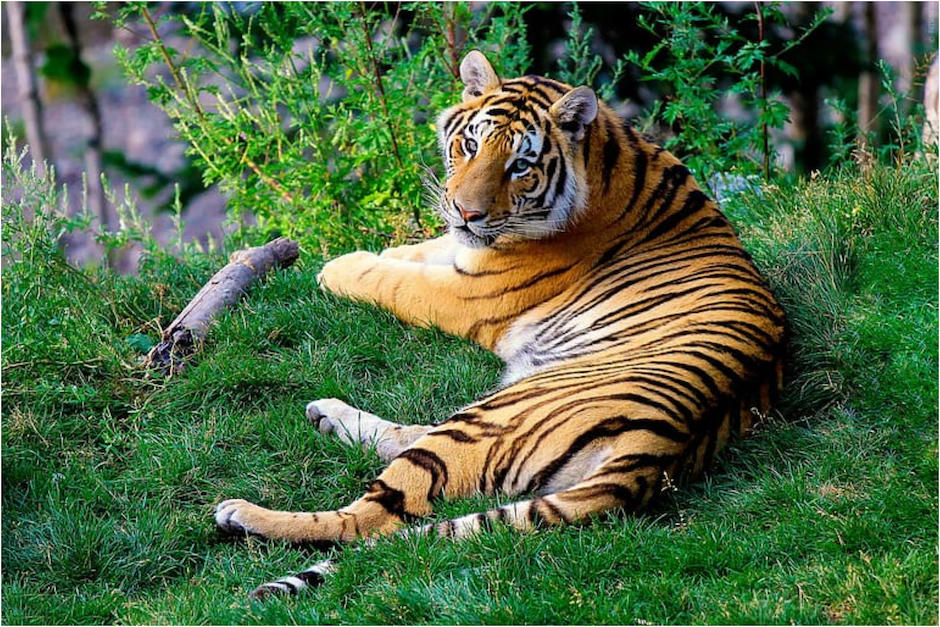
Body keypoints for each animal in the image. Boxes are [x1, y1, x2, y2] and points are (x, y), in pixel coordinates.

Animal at [215, 50, 787, 599]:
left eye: (520, 166)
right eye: (469, 145)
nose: (466, 212)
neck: (607, 158)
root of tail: (659, 450)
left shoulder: (469, 293)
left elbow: (395, 281)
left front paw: (338, 267)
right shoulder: (464, 252)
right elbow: (419, 251)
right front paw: (380, 250)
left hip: (492, 415)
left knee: (371, 518)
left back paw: (243, 513)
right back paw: (326, 415)